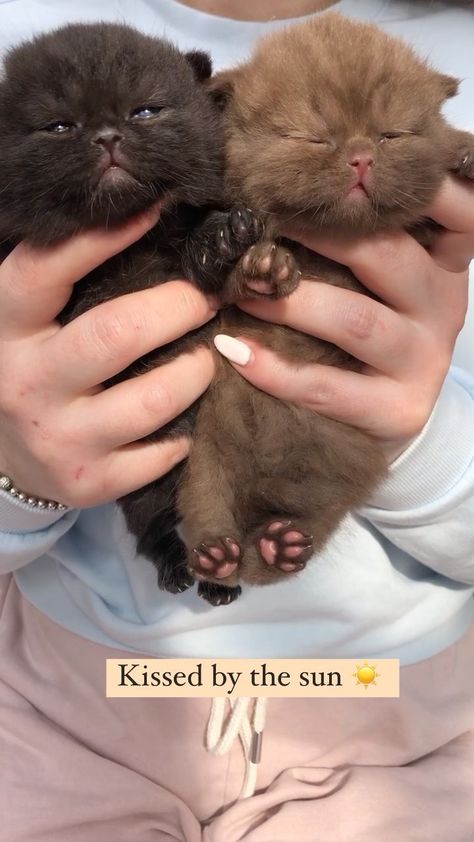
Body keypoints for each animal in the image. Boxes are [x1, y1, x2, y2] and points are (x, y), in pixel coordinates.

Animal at [176, 13, 472, 592]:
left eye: (391, 134)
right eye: (313, 137)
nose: (361, 157)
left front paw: (465, 149)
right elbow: (232, 279)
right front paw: (266, 269)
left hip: (339, 474)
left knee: (301, 526)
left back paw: (281, 544)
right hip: (205, 454)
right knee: (205, 506)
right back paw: (217, 555)